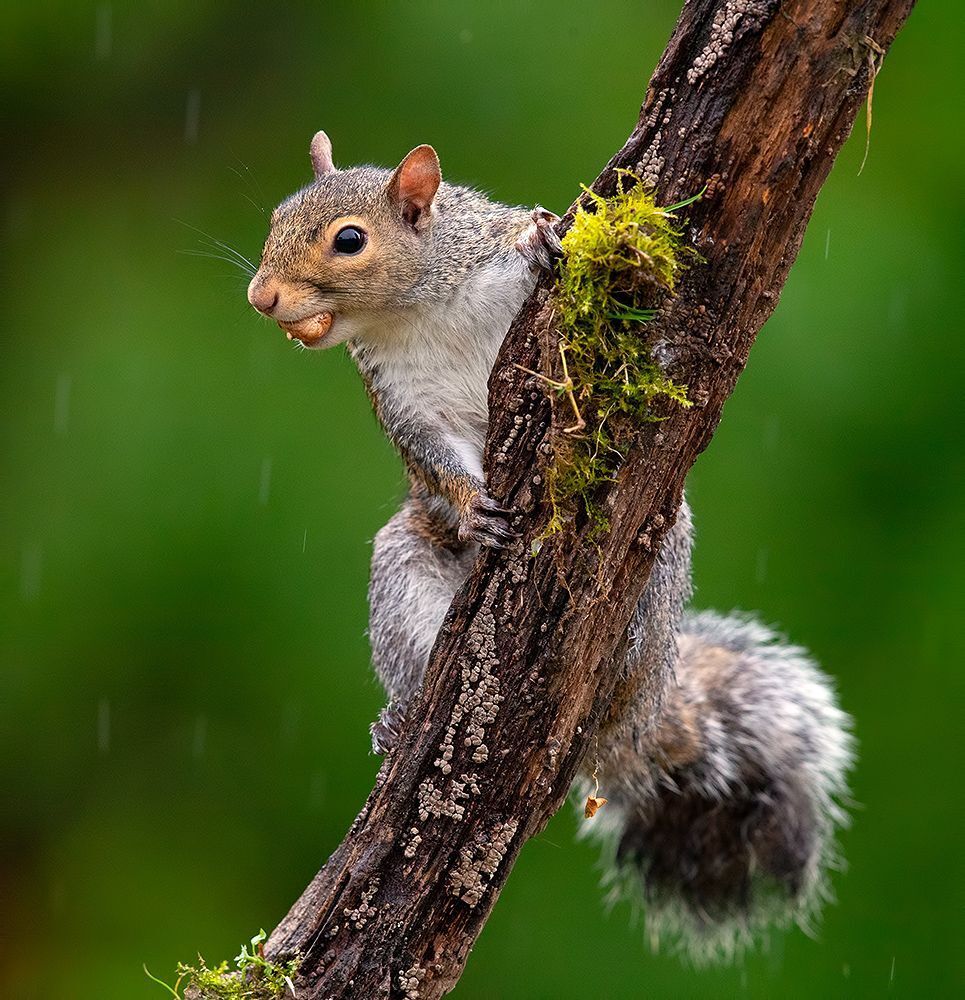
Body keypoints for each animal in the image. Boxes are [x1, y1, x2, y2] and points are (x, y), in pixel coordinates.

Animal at [246, 131, 854, 960]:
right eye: (275, 218)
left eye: (348, 241)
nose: (261, 297)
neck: (413, 311)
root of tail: (638, 719)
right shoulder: (401, 398)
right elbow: (434, 460)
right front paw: (472, 509)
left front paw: (540, 237)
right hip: (404, 561)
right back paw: (399, 719)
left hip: (655, 573)